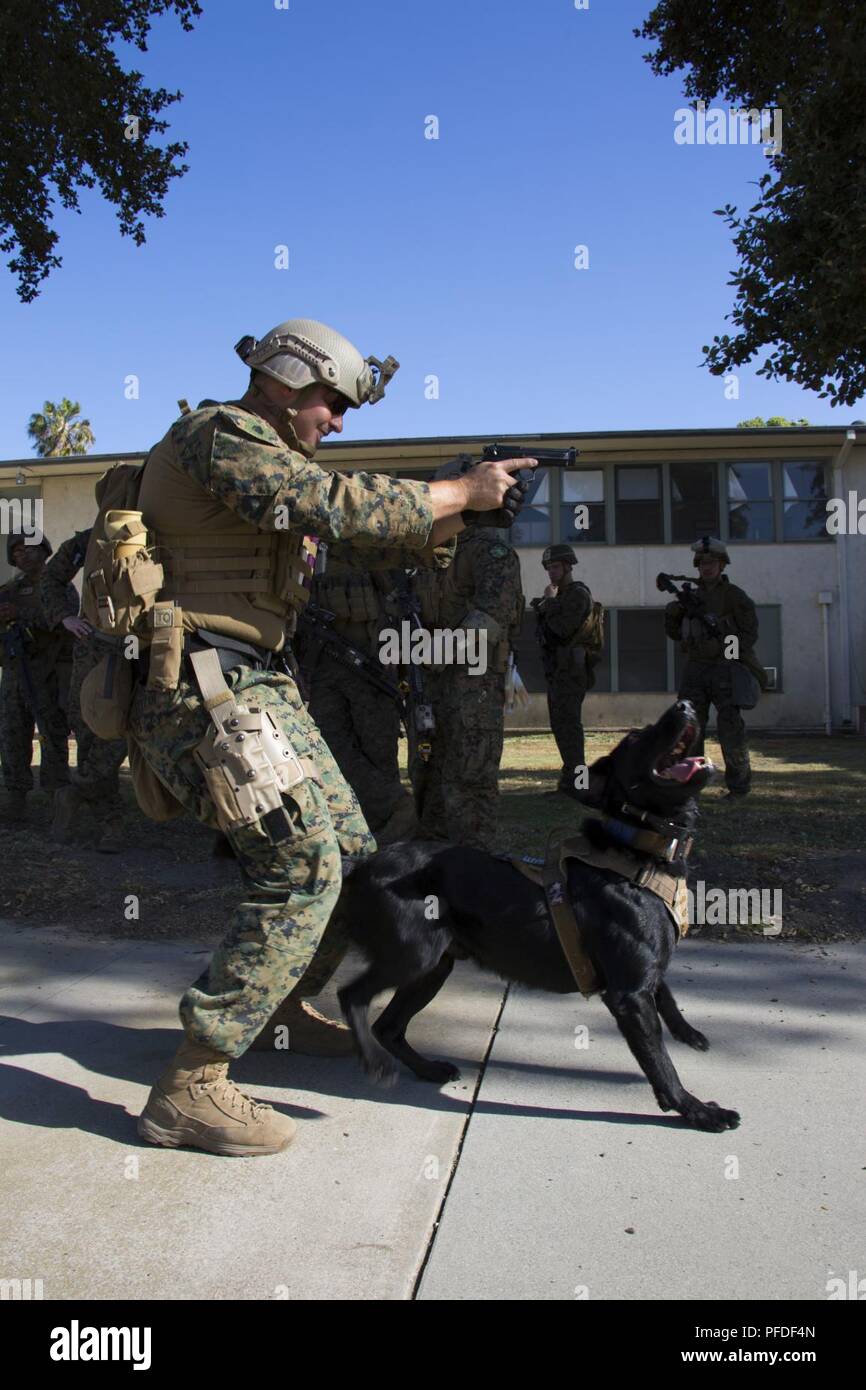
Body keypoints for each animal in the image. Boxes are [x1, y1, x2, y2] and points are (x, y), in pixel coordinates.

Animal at [335, 700, 739, 1134]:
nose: (685, 704)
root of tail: (362, 865)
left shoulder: (645, 972)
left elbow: (667, 995)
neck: (636, 851)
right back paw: (374, 1062)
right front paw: (697, 1110)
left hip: (433, 968)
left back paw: (427, 1069)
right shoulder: (629, 995)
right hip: (414, 956)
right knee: (352, 997)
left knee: (388, 1027)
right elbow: (660, 1062)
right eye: (637, 737)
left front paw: (688, 1034)